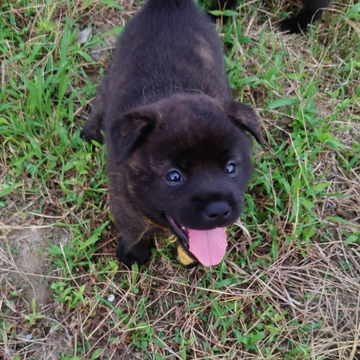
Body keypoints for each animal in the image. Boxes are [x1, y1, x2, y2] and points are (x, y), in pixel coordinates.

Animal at [82, 0, 264, 268]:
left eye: (231, 168)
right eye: (174, 176)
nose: (219, 210)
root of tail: (170, 4)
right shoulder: (123, 200)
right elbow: (135, 229)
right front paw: (133, 254)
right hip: (112, 75)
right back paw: (90, 134)